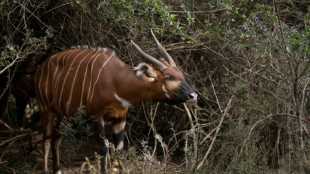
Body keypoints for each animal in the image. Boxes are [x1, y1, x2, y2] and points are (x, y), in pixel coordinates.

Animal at [35, 30, 197, 173]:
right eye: (169, 77)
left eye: (181, 74)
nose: (193, 96)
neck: (117, 81)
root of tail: (42, 66)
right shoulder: (97, 116)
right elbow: (103, 148)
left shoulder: (120, 117)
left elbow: (119, 150)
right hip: (45, 109)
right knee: (46, 140)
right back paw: (46, 170)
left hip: (63, 115)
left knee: (56, 138)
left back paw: (57, 170)